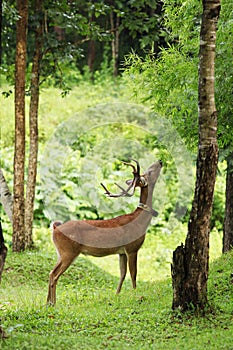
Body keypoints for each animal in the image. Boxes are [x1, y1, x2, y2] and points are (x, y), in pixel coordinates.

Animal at [47, 159, 162, 304]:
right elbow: (133, 274)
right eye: (149, 172)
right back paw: (53, 303)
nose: (160, 161)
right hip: (68, 251)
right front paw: (136, 294)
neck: (140, 221)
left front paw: (117, 294)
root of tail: (55, 228)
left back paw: (48, 303)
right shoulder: (132, 248)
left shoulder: (121, 252)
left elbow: (122, 274)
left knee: (51, 272)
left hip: (61, 252)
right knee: (54, 274)